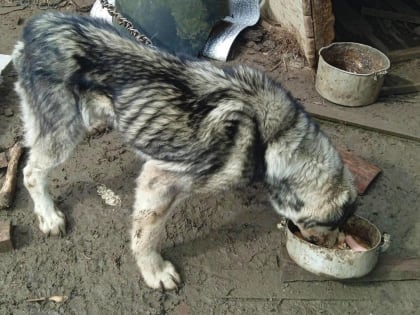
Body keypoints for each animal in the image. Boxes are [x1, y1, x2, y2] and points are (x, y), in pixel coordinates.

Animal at [11, 12, 356, 292]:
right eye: (333, 224)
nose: (338, 244)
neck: (272, 135)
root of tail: (36, 27)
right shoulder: (157, 181)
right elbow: (145, 235)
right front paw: (155, 272)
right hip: (61, 134)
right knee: (31, 172)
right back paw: (49, 216)